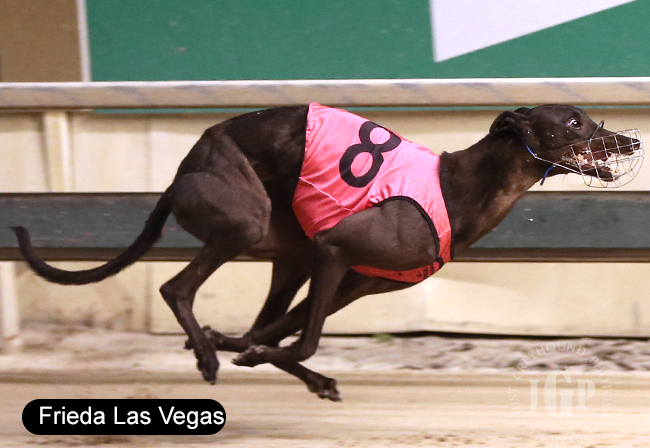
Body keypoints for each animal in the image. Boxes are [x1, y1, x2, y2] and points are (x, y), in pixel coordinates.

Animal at [12, 104, 642, 401]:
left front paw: (248, 351)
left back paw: (224, 348)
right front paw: (244, 355)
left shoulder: (351, 280)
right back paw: (210, 357)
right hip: (244, 222)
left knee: (257, 317)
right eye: (573, 121)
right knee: (176, 286)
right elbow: (304, 339)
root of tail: (179, 174)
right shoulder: (334, 249)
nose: (631, 140)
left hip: (288, 252)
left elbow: (276, 335)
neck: (458, 187)